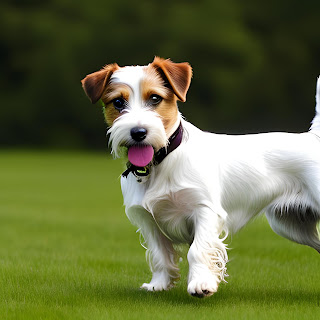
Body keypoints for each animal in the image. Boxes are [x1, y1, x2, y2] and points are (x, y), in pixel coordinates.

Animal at [82, 57, 320, 298]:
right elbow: (159, 255)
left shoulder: (205, 211)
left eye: (155, 98)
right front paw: (159, 284)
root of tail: (313, 137)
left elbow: (197, 250)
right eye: (118, 102)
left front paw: (201, 283)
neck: (163, 162)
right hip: (291, 226)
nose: (138, 132)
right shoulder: (147, 220)